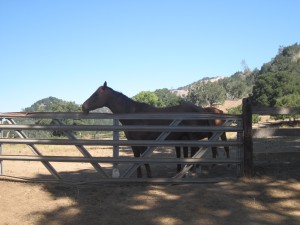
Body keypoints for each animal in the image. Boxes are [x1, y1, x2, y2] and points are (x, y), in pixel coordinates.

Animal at [82, 81, 227, 178]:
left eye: (96, 95)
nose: (83, 107)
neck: (133, 115)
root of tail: (201, 110)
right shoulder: (133, 143)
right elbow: (136, 159)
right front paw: (139, 177)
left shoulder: (143, 143)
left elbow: (144, 160)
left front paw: (149, 176)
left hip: (192, 137)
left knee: (196, 152)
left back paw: (192, 172)